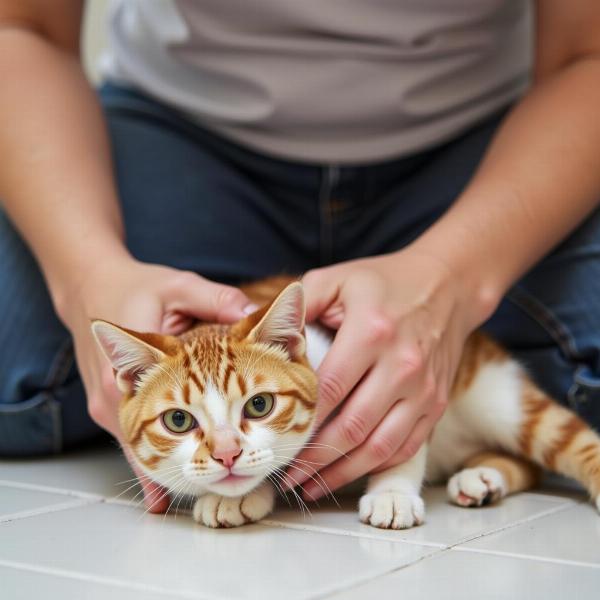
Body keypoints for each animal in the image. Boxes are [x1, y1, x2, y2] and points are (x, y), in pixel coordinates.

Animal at [91, 278, 600, 528]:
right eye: (178, 420)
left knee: (562, 441)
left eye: (259, 406)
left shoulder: (396, 374)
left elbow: (400, 434)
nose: (227, 454)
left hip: (496, 396)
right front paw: (235, 496)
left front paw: (392, 493)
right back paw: (483, 478)